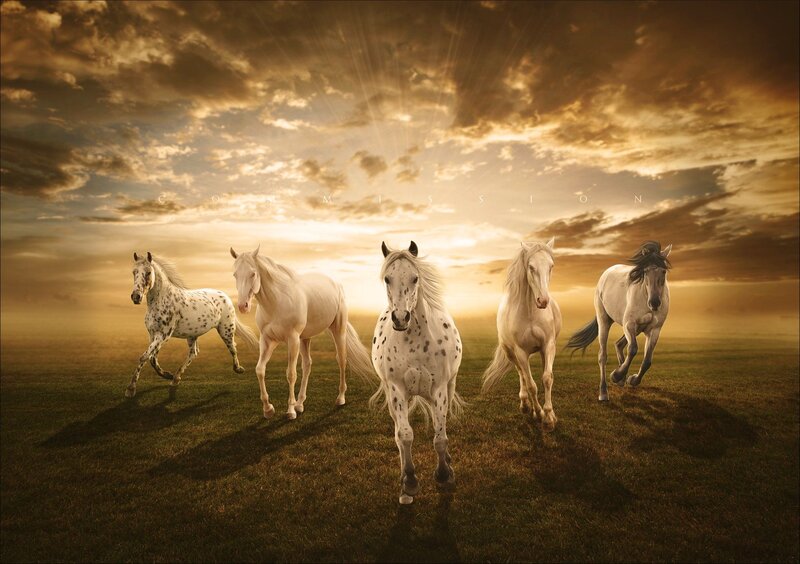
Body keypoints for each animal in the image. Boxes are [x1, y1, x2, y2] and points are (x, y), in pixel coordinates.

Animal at [125, 252, 258, 398]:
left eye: (148, 272)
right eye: (134, 272)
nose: (136, 297)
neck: (160, 300)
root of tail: (225, 296)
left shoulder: (163, 335)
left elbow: (144, 357)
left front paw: (130, 389)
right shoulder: (153, 335)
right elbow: (152, 358)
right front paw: (167, 375)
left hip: (226, 330)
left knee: (232, 347)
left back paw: (238, 369)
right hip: (192, 335)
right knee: (193, 353)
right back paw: (176, 378)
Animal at [230, 245, 374, 420]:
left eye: (253, 273)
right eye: (235, 274)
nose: (243, 306)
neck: (276, 302)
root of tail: (336, 284)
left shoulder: (292, 339)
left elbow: (291, 373)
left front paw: (290, 411)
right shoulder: (267, 341)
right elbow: (260, 370)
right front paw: (268, 409)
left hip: (338, 331)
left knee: (341, 360)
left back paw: (340, 398)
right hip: (305, 338)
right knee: (307, 365)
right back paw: (300, 403)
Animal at [371, 241, 464, 505]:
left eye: (415, 278)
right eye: (387, 278)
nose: (401, 318)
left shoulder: (439, 388)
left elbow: (440, 437)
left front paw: (444, 475)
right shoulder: (397, 390)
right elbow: (404, 436)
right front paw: (410, 482)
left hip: (446, 388)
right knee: (398, 435)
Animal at [481, 237, 562, 431]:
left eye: (551, 266)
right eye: (531, 267)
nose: (543, 301)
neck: (531, 314)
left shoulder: (548, 345)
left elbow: (547, 378)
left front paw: (549, 417)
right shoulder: (521, 352)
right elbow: (531, 385)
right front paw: (539, 414)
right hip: (511, 353)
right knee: (521, 374)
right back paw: (526, 405)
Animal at [565, 241, 672, 401]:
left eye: (663, 271)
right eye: (645, 271)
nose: (654, 303)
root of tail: (606, 273)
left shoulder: (654, 330)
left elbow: (647, 360)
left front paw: (631, 379)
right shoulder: (629, 325)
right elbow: (633, 349)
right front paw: (616, 375)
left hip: (638, 329)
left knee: (619, 344)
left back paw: (621, 379)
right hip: (605, 321)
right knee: (602, 355)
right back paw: (604, 392)